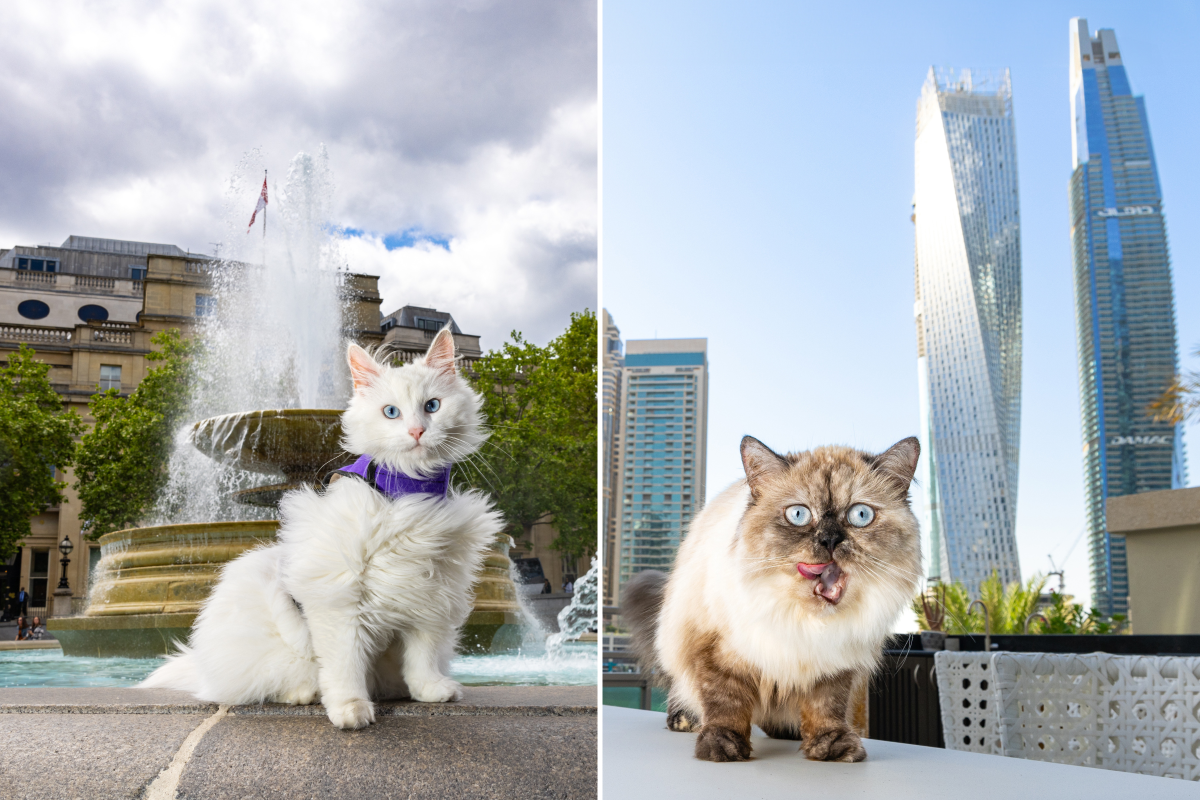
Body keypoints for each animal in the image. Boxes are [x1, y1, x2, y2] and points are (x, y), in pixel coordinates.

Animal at [142, 328, 504, 729]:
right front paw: (350, 710)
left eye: (433, 406)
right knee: (271, 683)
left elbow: (422, 656)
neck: (409, 490)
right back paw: (304, 695)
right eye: (391, 412)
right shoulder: (340, 600)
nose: (417, 431)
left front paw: (430, 691)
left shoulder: (432, 592)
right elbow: (345, 664)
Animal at [624, 434, 921, 762]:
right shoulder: (717, 650)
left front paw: (831, 748)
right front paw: (723, 748)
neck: (805, 619)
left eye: (860, 515)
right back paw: (685, 721)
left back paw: (789, 732)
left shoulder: (835, 662)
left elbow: (827, 706)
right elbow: (724, 702)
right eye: (798, 515)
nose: (830, 539)